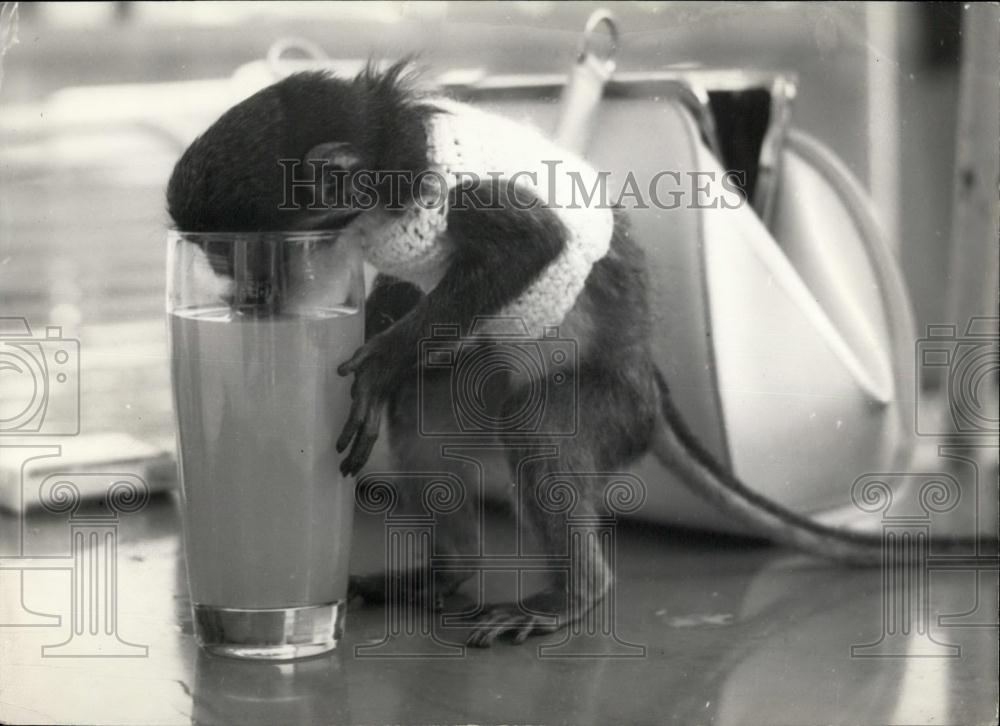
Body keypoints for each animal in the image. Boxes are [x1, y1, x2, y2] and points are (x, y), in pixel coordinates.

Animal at [166, 62, 984, 652]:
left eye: (229, 254)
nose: (242, 297)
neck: (389, 145)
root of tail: (646, 380)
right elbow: (403, 296)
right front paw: (383, 328)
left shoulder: (448, 193)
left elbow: (536, 245)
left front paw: (381, 355)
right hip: (482, 376)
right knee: (428, 419)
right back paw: (446, 578)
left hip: (612, 408)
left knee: (540, 428)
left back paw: (573, 595)